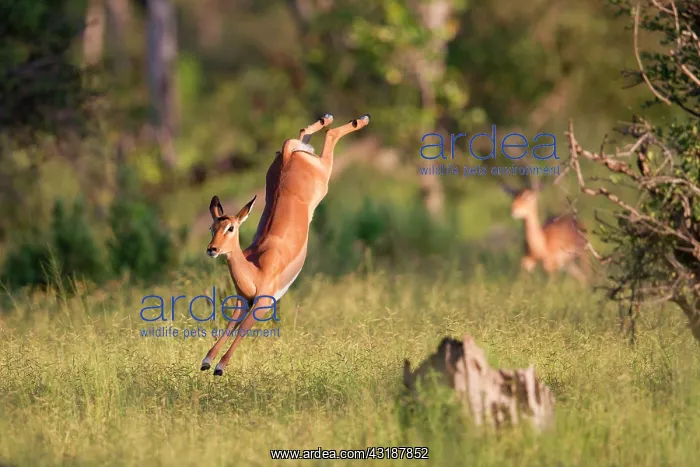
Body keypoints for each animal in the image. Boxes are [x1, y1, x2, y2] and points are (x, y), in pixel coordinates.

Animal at [201, 113, 371, 376]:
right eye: (212, 228)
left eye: (231, 228)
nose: (212, 249)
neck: (255, 271)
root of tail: (289, 155)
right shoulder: (243, 300)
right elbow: (229, 325)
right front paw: (207, 361)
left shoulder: (262, 303)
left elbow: (242, 329)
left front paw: (220, 366)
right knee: (302, 134)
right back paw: (327, 119)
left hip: (325, 173)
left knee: (329, 135)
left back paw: (358, 120)